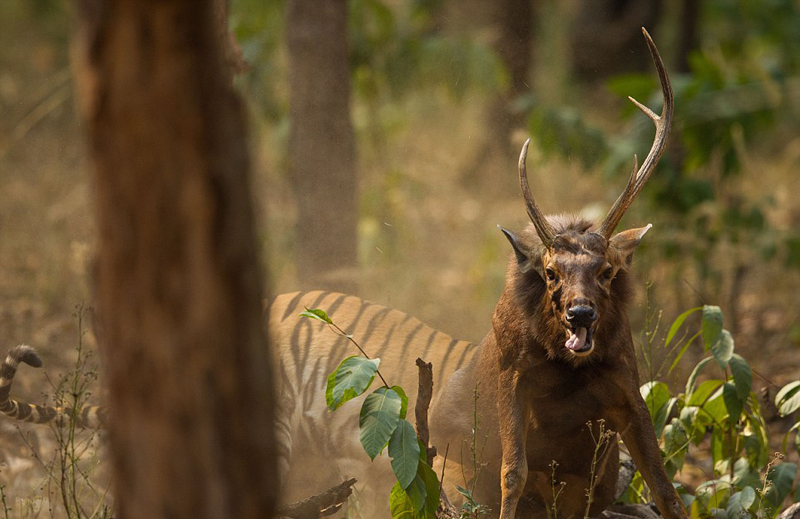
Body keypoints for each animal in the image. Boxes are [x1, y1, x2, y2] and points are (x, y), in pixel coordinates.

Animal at [429, 28, 685, 519]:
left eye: (606, 271)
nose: (580, 314)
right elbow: (513, 473)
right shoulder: (513, 376)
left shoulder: (626, 382)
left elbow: (665, 486)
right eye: (550, 272)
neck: (568, 372)